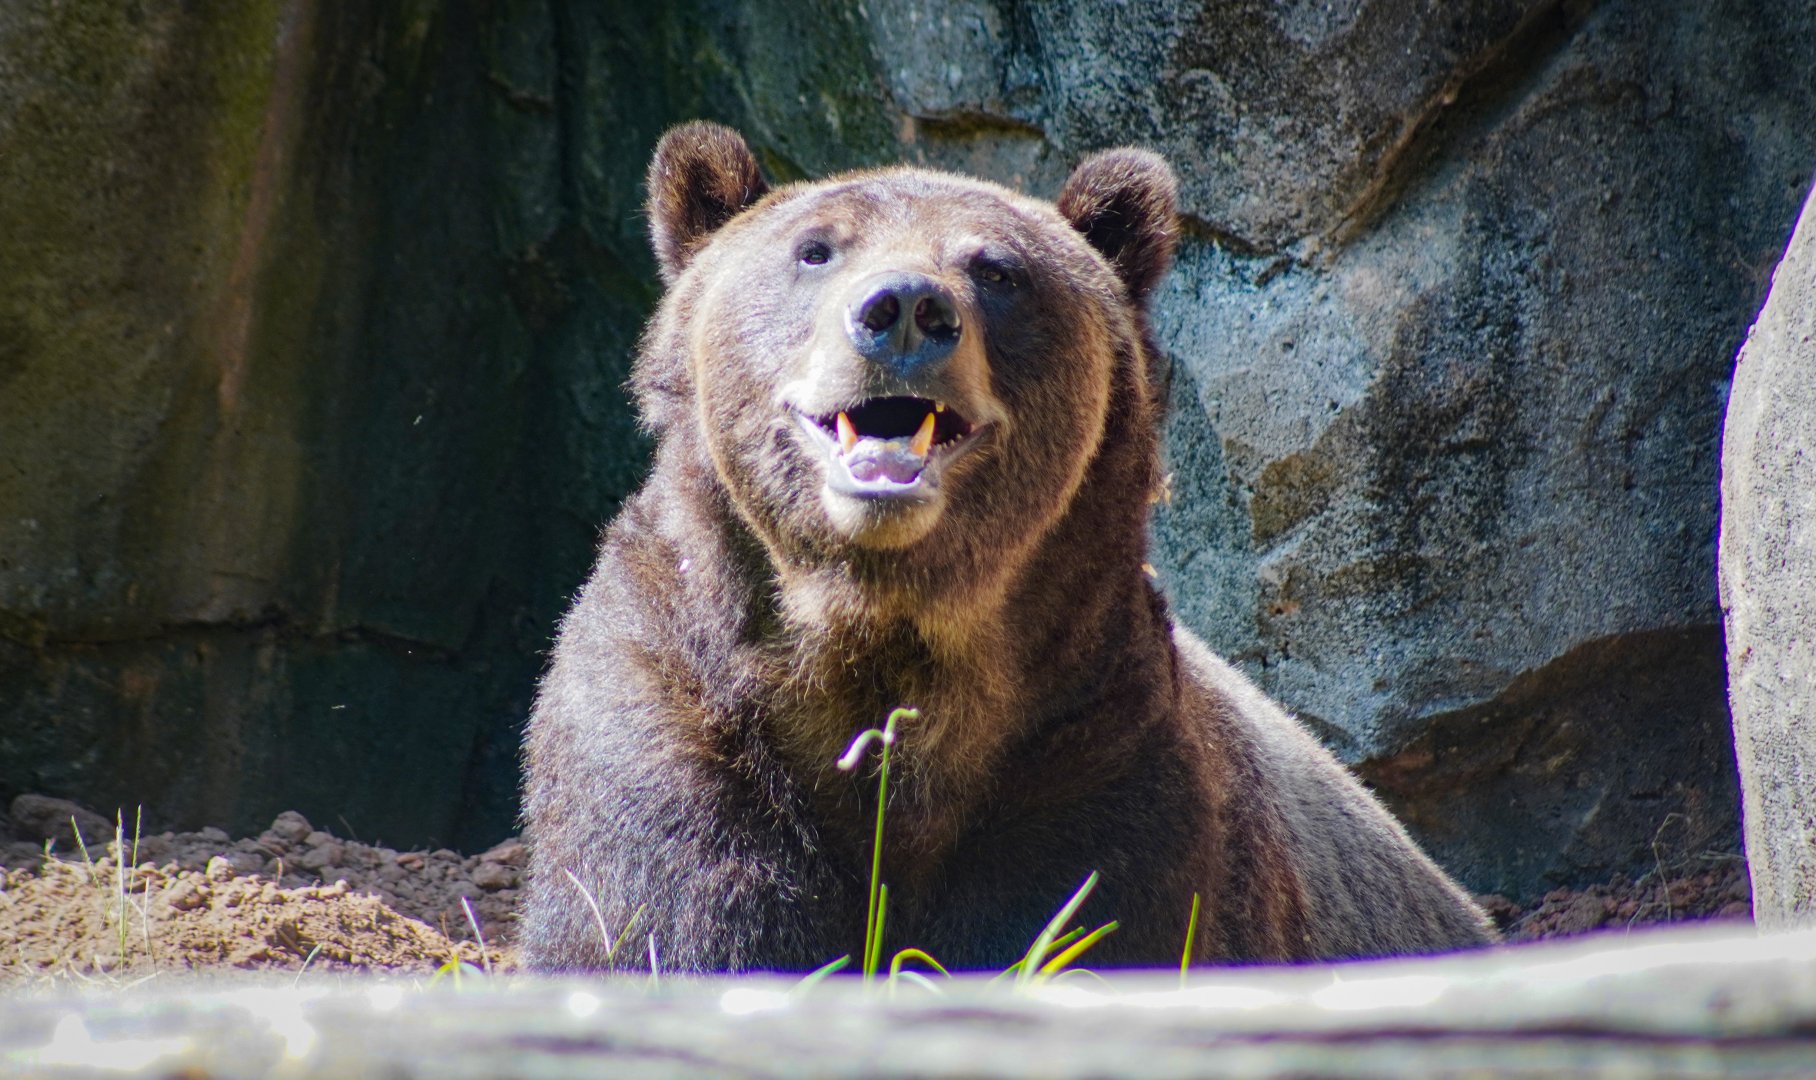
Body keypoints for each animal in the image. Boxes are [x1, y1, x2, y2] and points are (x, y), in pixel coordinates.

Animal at [519, 121, 1496, 973]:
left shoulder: (1091, 749)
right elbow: (669, 916)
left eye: (996, 269)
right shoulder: (677, 710)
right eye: (816, 249)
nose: (903, 309)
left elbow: (1074, 923)